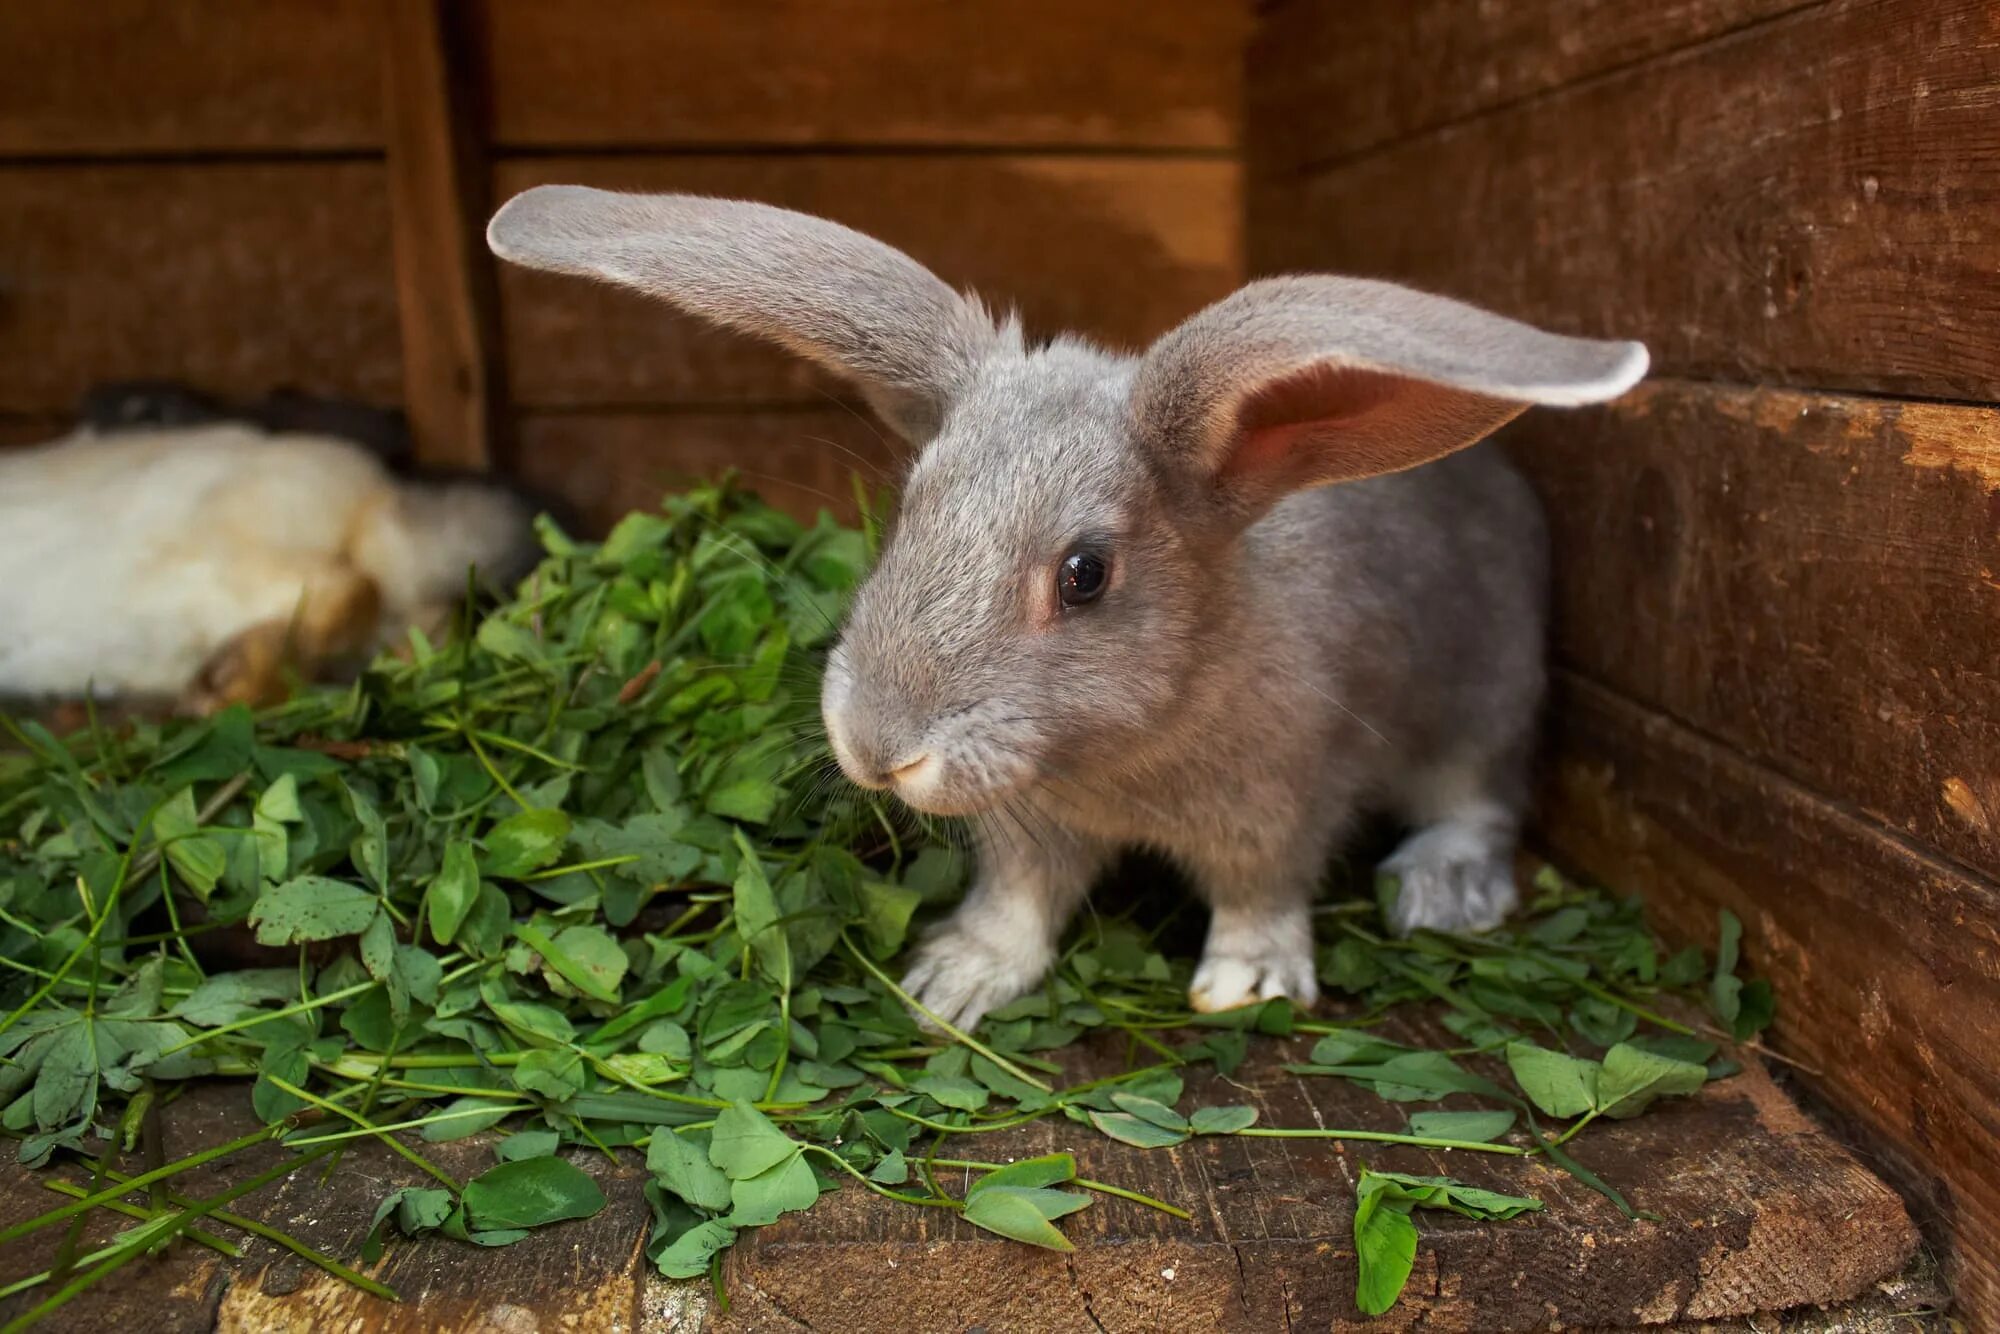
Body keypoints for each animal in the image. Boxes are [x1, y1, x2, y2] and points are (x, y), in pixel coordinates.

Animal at [484, 188, 1640, 1032]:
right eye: (907, 507)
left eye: (1084, 574)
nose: (876, 747)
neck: (1119, 754)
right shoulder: (1028, 831)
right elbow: (1020, 903)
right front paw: (947, 982)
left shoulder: (1281, 807)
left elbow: (1260, 897)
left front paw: (1245, 986)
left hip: (1486, 706)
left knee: (1481, 801)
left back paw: (1444, 889)